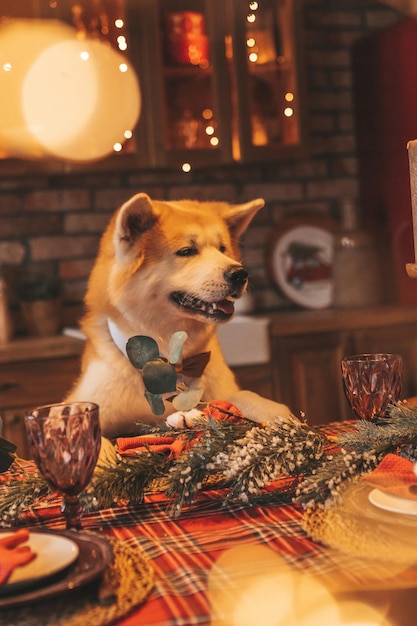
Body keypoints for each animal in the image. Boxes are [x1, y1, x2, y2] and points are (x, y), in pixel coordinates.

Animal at [66, 193, 292, 436]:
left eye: (222, 248)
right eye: (186, 251)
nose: (240, 273)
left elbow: (244, 395)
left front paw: (281, 415)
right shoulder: (85, 401)